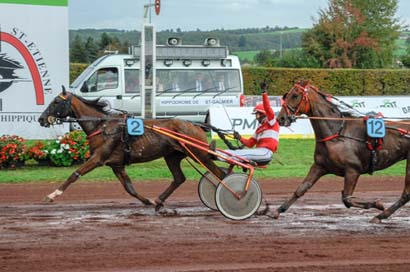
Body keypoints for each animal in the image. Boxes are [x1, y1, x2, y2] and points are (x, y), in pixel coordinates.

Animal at [38, 88, 224, 211]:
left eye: (56, 102)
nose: (41, 119)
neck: (102, 126)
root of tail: (196, 124)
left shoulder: (98, 158)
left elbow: (74, 174)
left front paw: (52, 195)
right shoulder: (117, 164)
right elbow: (129, 188)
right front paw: (148, 201)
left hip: (199, 154)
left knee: (220, 174)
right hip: (172, 156)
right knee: (179, 178)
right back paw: (159, 201)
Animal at [274, 81, 410, 223]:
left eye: (295, 95)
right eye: (286, 95)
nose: (280, 118)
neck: (337, 133)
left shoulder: (352, 170)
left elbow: (347, 199)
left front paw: (377, 204)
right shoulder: (319, 166)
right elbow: (301, 189)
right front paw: (277, 210)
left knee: (406, 194)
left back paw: (380, 216)